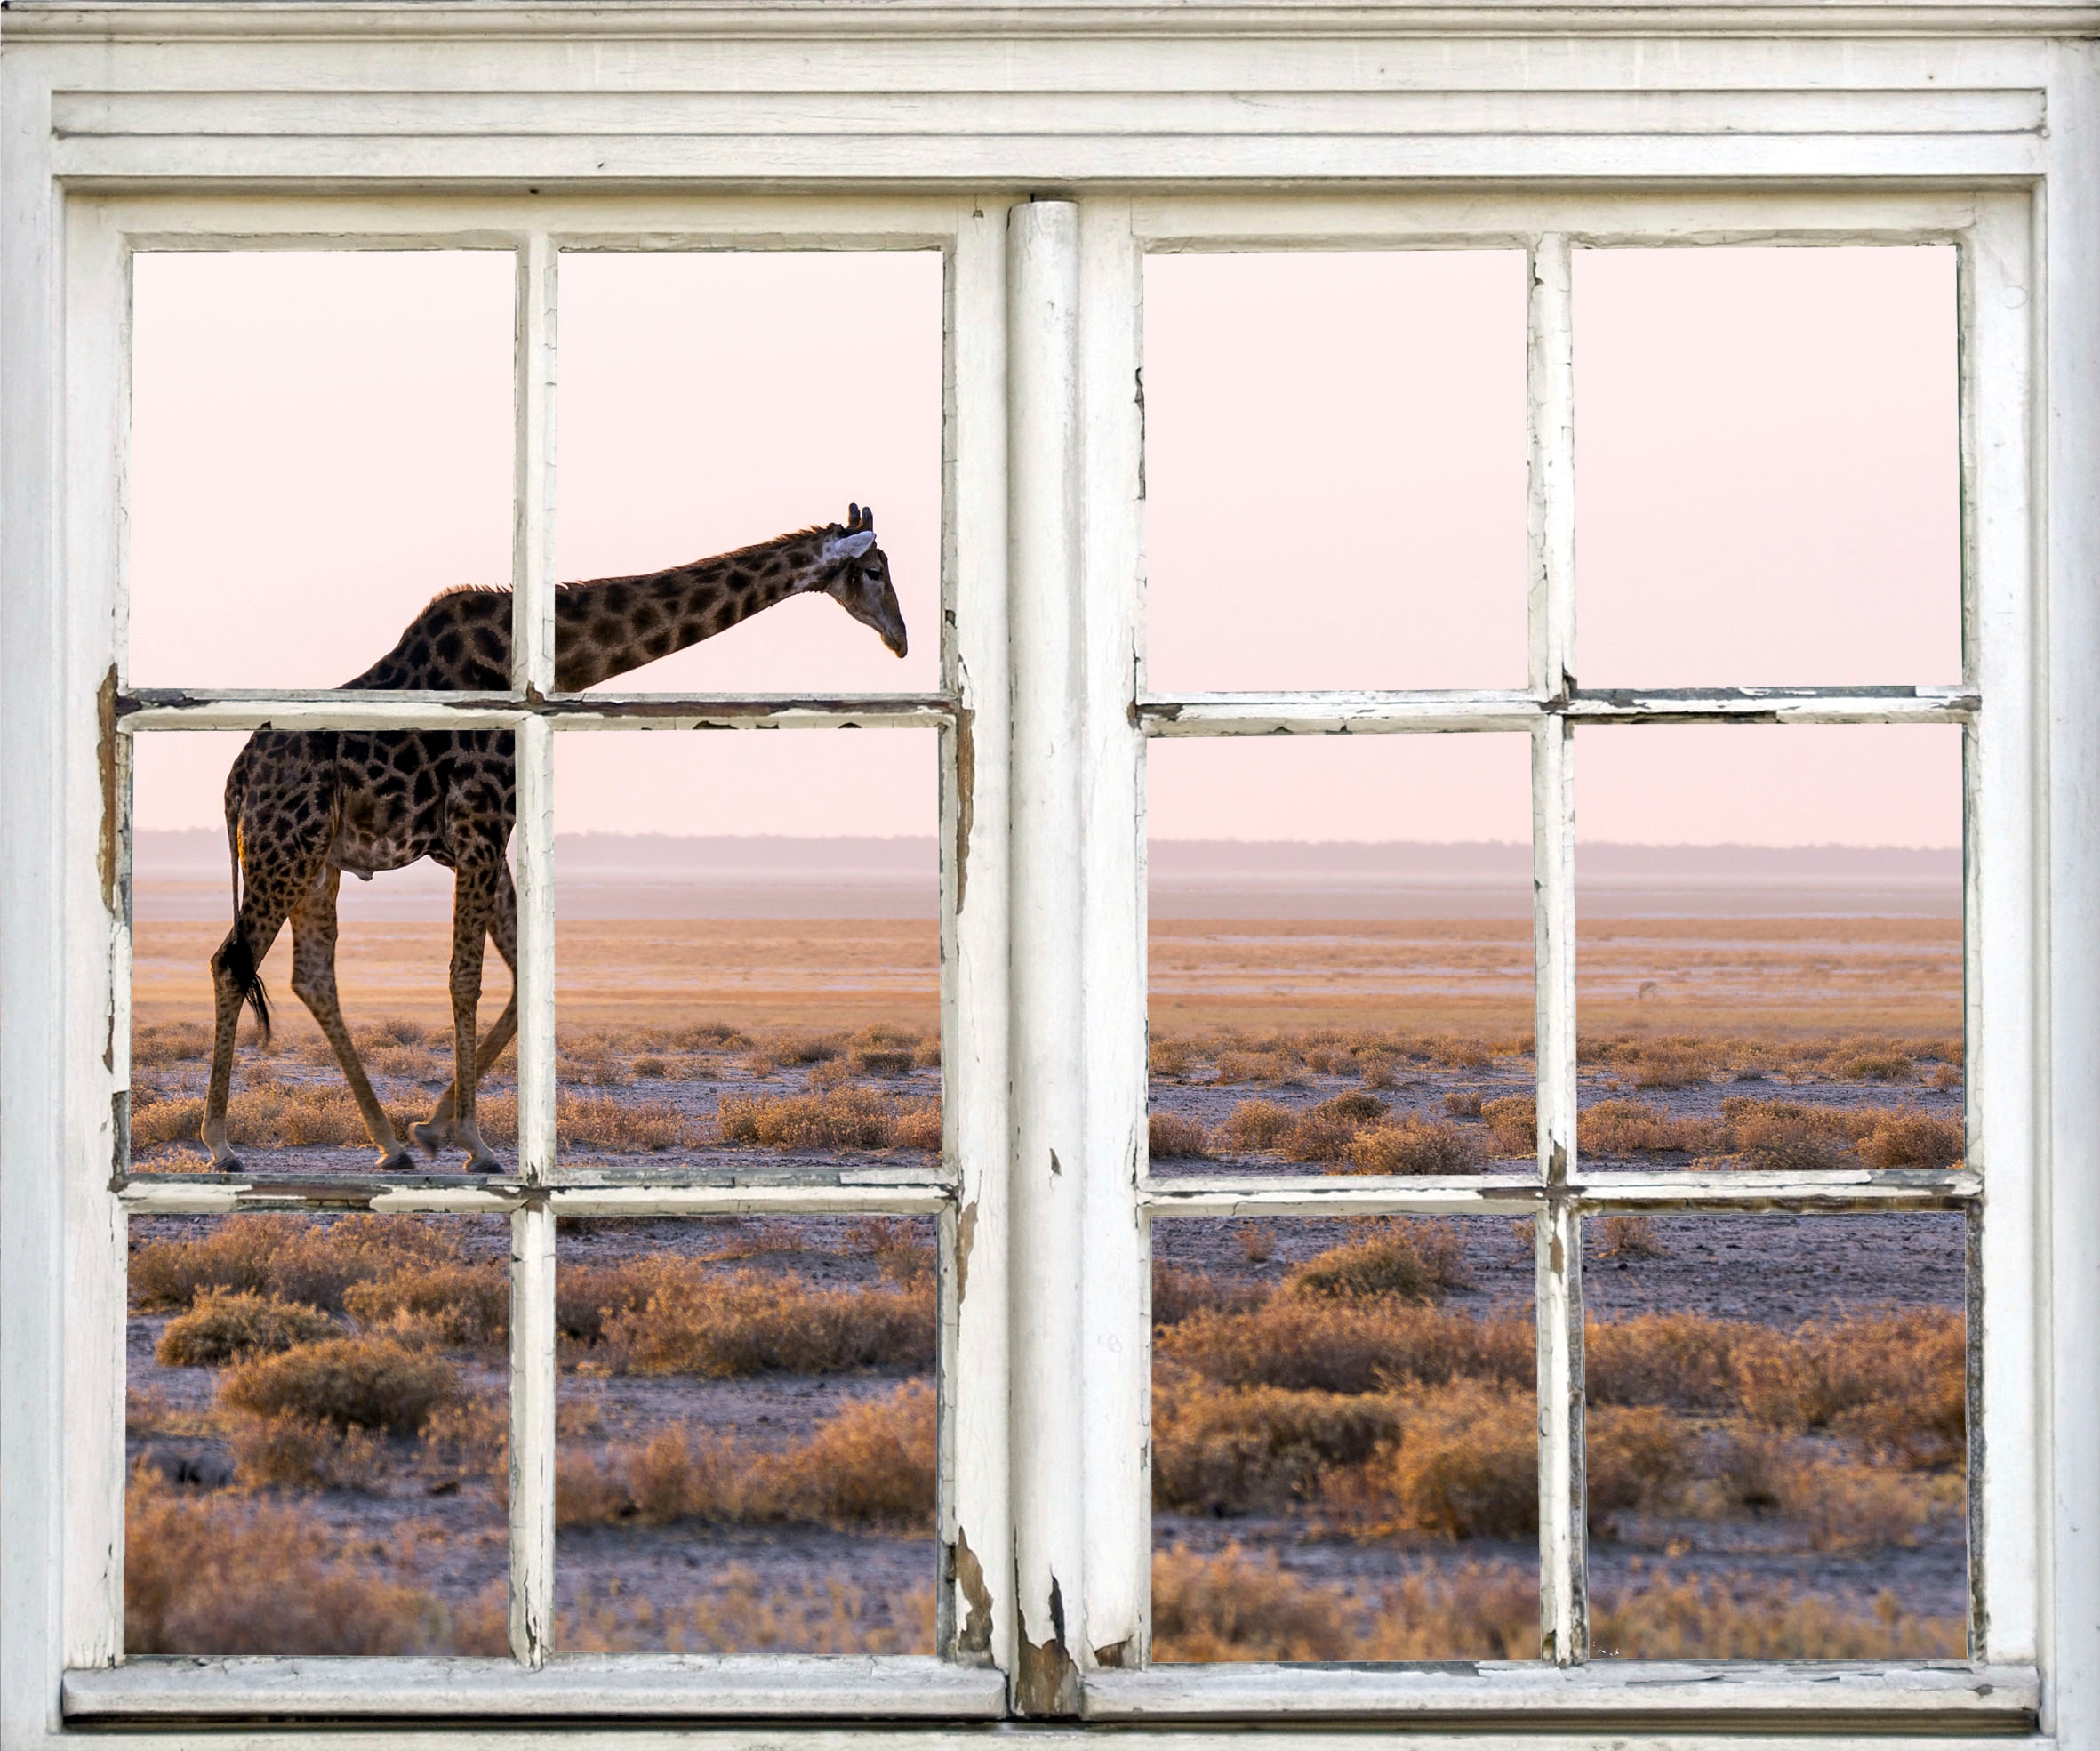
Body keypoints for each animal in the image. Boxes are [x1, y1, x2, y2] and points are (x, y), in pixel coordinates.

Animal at [201, 505, 905, 1173]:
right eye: (874, 571)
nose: (900, 637)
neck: (555, 662)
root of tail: (236, 780)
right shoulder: (480, 827)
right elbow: (465, 977)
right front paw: (476, 1142)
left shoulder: (480, 841)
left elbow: (520, 980)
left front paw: (435, 1128)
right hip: (285, 849)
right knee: (232, 961)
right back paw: (221, 1143)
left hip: (318, 862)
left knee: (312, 976)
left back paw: (388, 1142)